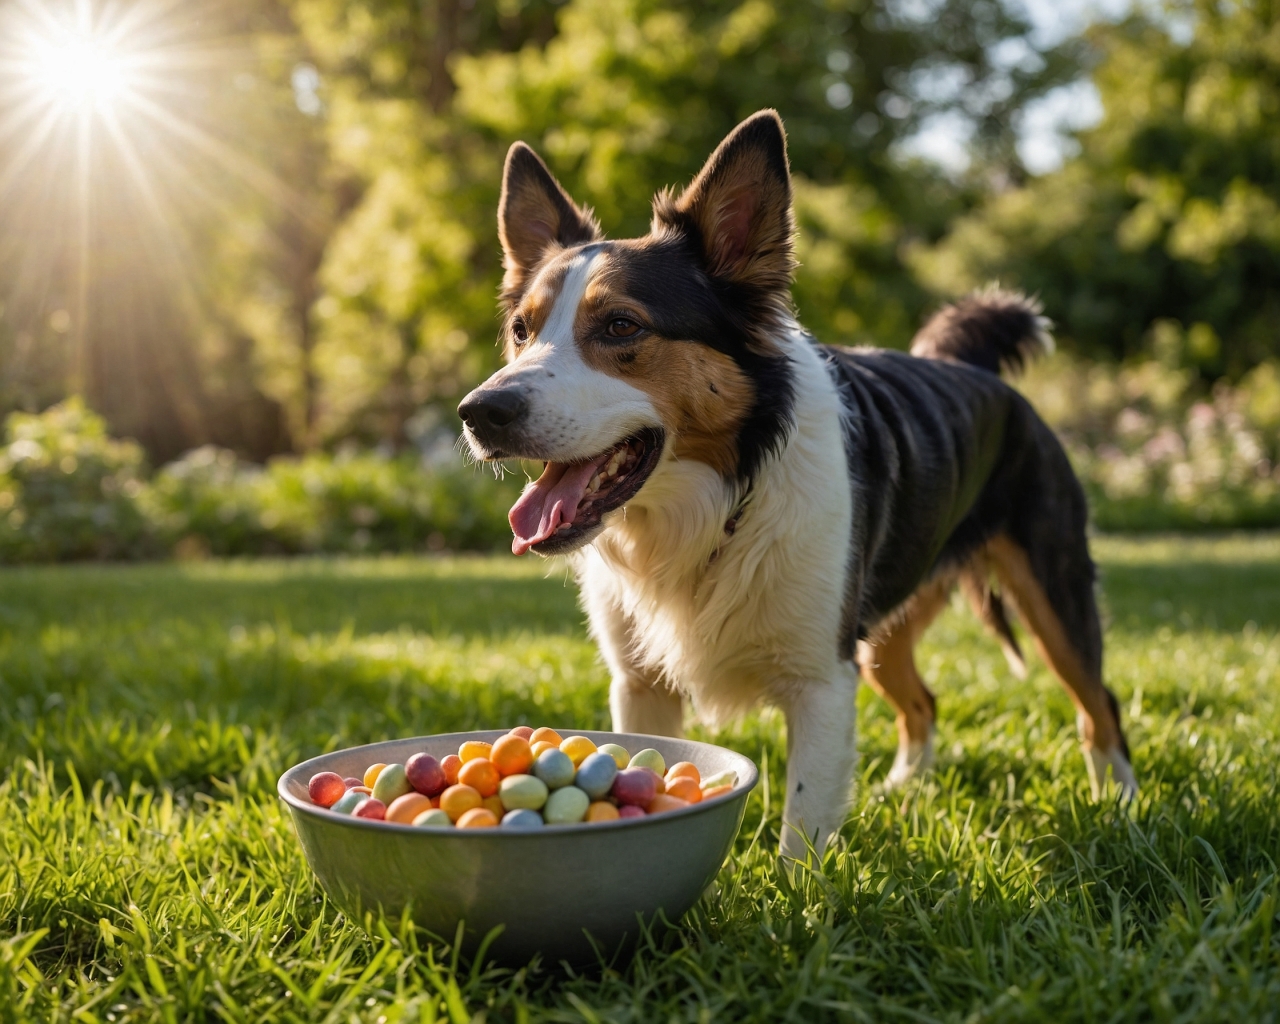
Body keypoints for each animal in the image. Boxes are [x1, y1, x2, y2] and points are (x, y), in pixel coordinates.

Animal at [460, 108, 1141, 860]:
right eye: (521, 330)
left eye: (619, 325)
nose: (480, 412)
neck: (717, 504)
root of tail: (976, 372)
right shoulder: (640, 683)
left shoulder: (822, 678)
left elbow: (804, 828)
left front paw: (801, 890)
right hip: (882, 631)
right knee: (923, 702)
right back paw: (903, 790)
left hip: (1054, 594)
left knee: (1100, 705)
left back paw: (1122, 810)